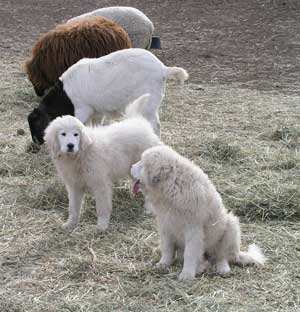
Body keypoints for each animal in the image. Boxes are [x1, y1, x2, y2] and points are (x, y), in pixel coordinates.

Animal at [43, 94, 161, 230]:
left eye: (76, 134)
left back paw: (149, 208)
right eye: (63, 134)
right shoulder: (74, 185)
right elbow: (73, 207)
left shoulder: (100, 184)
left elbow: (102, 206)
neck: (81, 153)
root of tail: (139, 122)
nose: (70, 145)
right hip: (131, 168)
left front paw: (102, 225)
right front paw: (70, 224)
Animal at [130, 146, 266, 280]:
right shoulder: (165, 223)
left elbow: (190, 253)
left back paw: (223, 268)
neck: (172, 184)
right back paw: (201, 267)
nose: (131, 166)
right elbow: (167, 248)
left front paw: (186, 275)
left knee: (222, 256)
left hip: (230, 226)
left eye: (142, 163)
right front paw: (163, 264)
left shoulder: (193, 228)